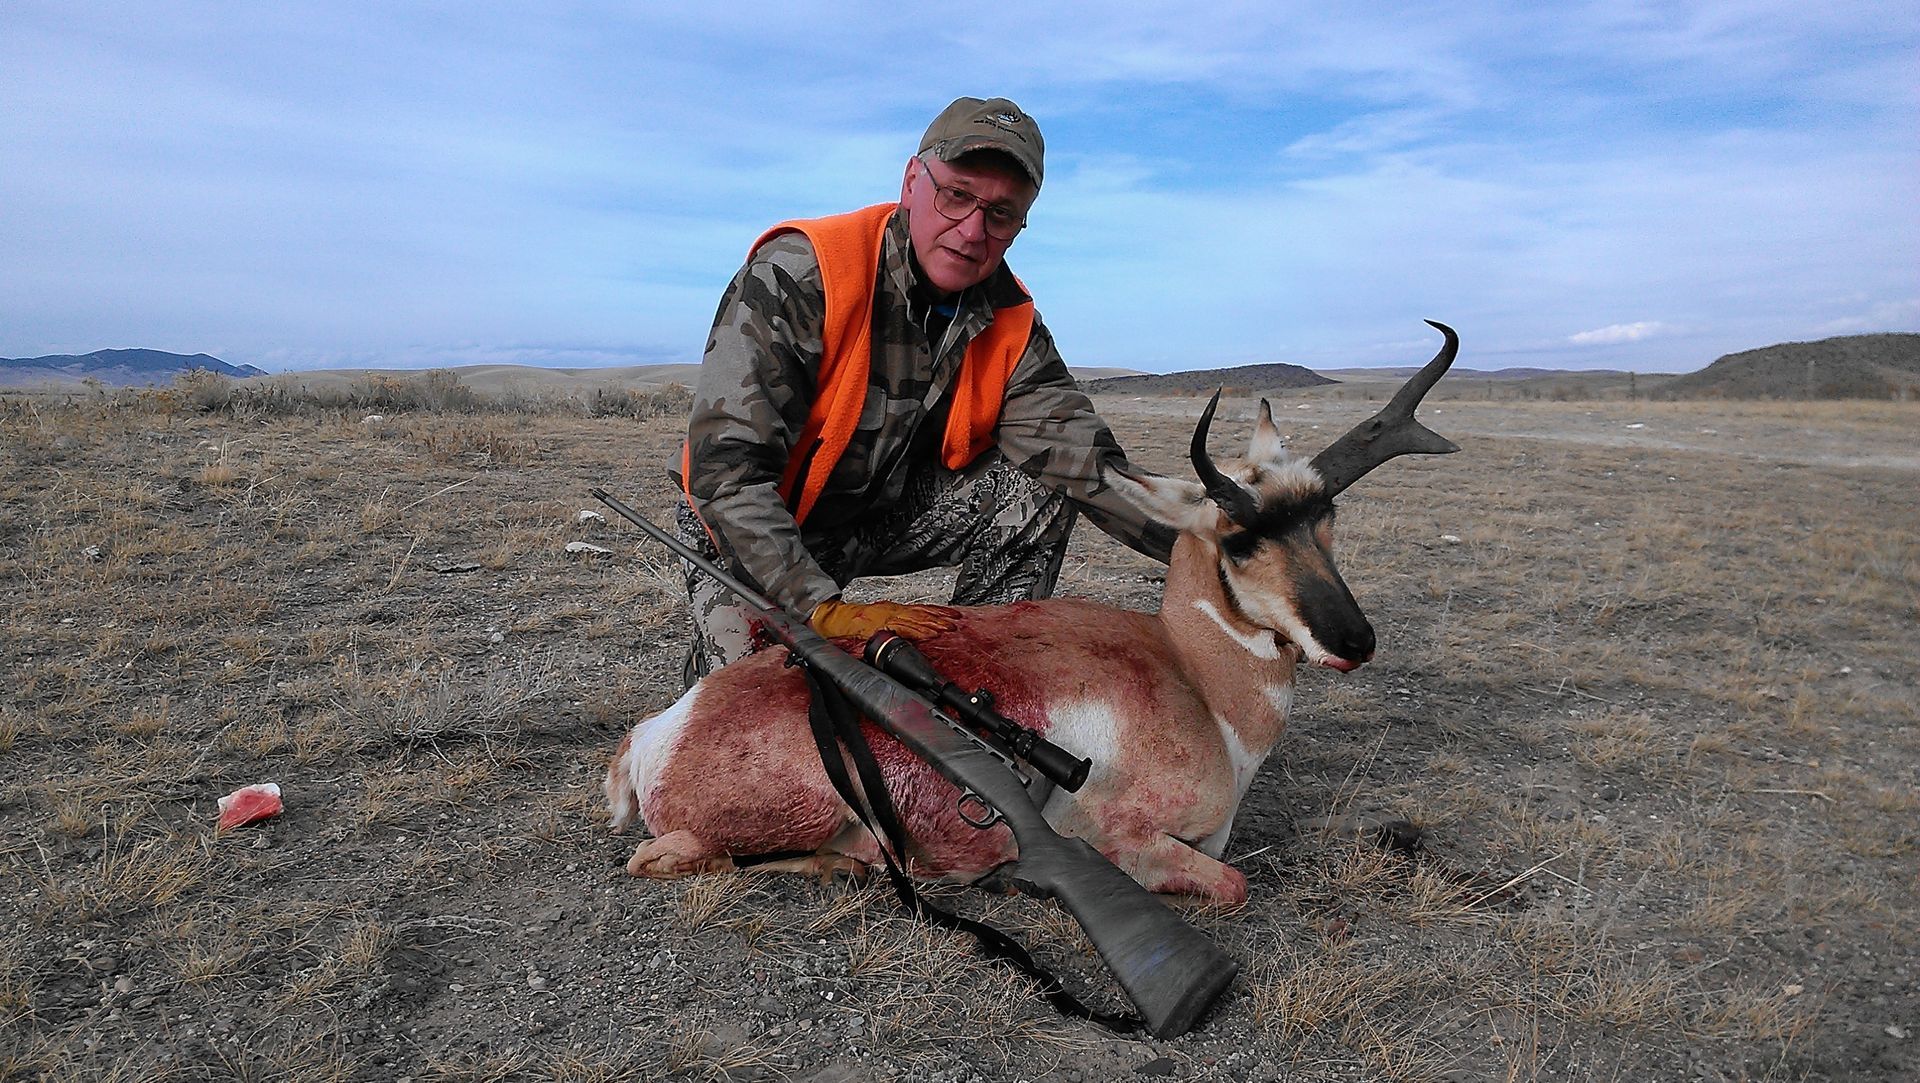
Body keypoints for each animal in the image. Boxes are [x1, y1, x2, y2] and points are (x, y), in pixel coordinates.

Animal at [607, 323, 1459, 905]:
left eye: (1327, 516)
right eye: (1241, 537)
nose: (1354, 638)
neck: (1195, 681)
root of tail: (659, 732)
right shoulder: (1120, 838)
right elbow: (1234, 882)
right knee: (667, 858)